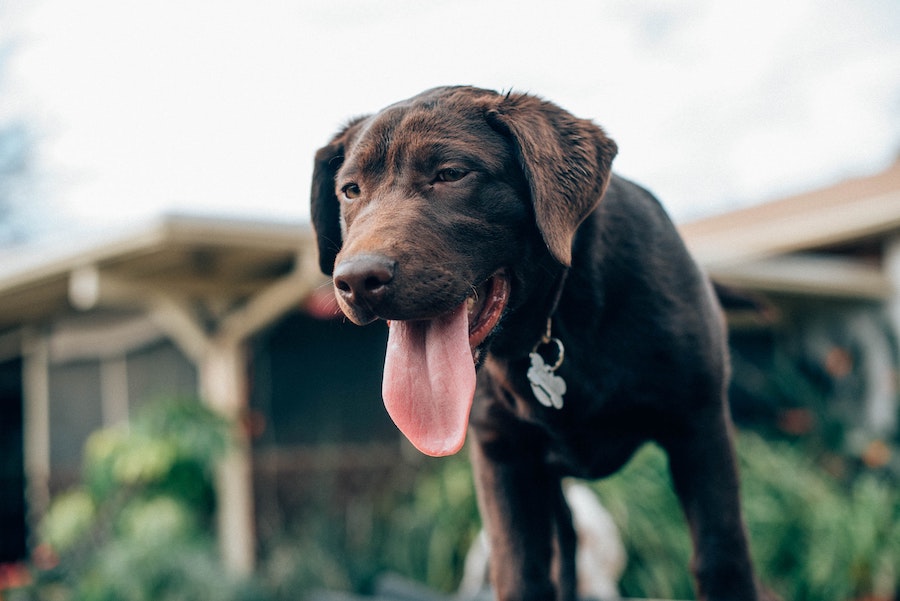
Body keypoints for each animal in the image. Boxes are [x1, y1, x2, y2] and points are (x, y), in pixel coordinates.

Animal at [310, 85, 760, 600]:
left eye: (451, 174)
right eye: (350, 190)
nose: (356, 280)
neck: (558, 321)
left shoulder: (700, 425)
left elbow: (721, 556)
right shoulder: (503, 457)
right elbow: (522, 573)